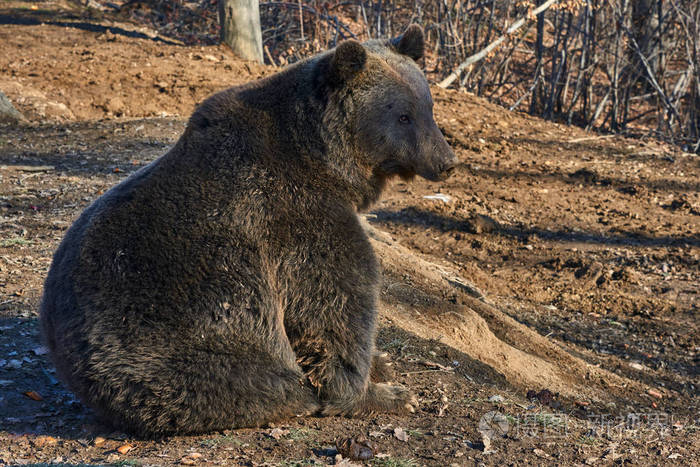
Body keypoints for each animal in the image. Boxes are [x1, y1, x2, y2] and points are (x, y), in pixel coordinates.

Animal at [39, 24, 457, 437]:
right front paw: (384, 394)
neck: (325, 159)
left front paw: (382, 363)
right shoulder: (295, 213)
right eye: (402, 115)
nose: (447, 161)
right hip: (182, 348)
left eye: (428, 107)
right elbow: (335, 302)